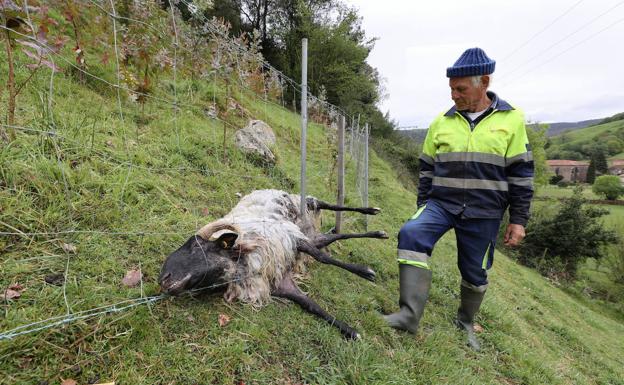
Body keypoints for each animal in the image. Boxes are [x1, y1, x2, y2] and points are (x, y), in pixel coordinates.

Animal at [158, 188, 388, 336]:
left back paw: (371, 212)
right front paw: (350, 331)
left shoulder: (291, 238)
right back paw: (376, 233)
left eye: (197, 246)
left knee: (327, 204)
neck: (240, 264)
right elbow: (311, 305)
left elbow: (323, 258)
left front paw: (365, 272)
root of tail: (263, 189)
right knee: (331, 237)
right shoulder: (280, 283)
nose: (163, 279)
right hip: (308, 232)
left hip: (302, 204)